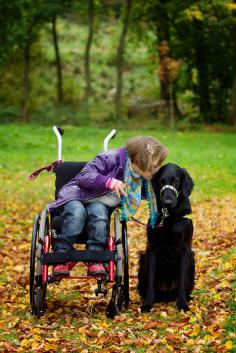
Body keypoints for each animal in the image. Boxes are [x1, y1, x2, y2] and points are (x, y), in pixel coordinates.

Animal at [137, 162, 195, 310]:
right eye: (161, 182)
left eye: (175, 181)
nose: (167, 202)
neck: (169, 217)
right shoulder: (151, 248)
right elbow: (151, 279)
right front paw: (147, 304)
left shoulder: (184, 249)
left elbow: (182, 280)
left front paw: (182, 304)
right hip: (142, 258)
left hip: (192, 257)